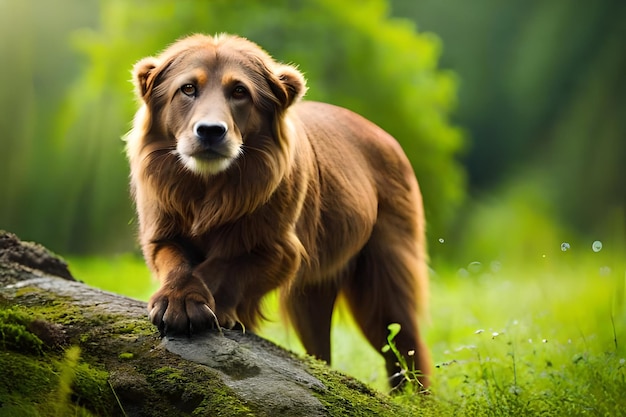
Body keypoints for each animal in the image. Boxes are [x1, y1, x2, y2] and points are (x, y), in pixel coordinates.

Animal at [127, 34, 428, 388]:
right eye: (187, 89)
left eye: (239, 91)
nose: (211, 130)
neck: (209, 187)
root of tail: (386, 136)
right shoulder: (161, 233)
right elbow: (177, 263)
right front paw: (176, 301)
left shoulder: (280, 248)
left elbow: (223, 266)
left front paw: (198, 306)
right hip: (310, 297)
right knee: (320, 352)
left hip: (386, 275)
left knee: (405, 347)